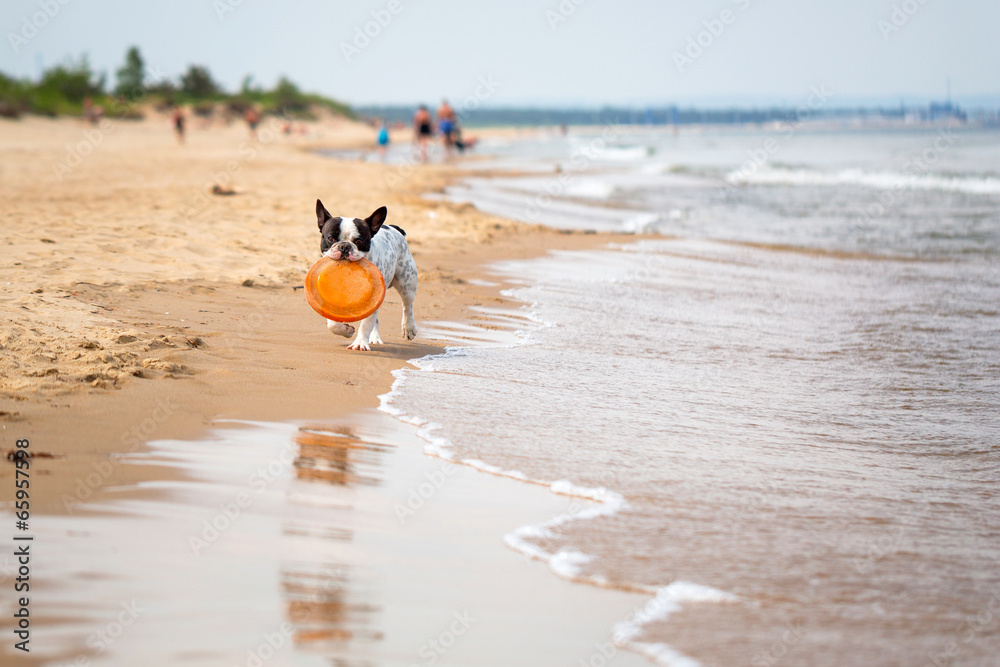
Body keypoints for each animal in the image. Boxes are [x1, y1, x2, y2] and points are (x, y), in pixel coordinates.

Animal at [316, 200, 418, 352]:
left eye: (359, 241)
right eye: (330, 238)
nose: (344, 246)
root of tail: (393, 228)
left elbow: (366, 323)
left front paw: (359, 343)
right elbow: (332, 324)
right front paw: (346, 330)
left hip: (407, 282)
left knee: (407, 306)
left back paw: (408, 328)